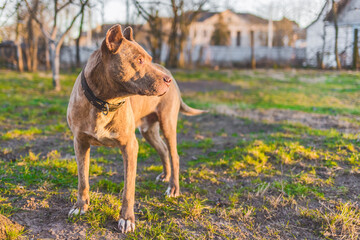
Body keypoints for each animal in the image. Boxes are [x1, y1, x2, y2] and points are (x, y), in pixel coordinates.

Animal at [65, 24, 204, 232]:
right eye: (139, 60)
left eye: (150, 59)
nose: (167, 81)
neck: (104, 102)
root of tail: (168, 71)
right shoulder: (80, 143)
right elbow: (83, 180)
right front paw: (81, 207)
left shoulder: (130, 146)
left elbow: (129, 189)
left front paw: (127, 219)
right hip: (148, 131)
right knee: (163, 149)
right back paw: (165, 176)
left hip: (167, 124)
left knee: (174, 155)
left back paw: (173, 188)